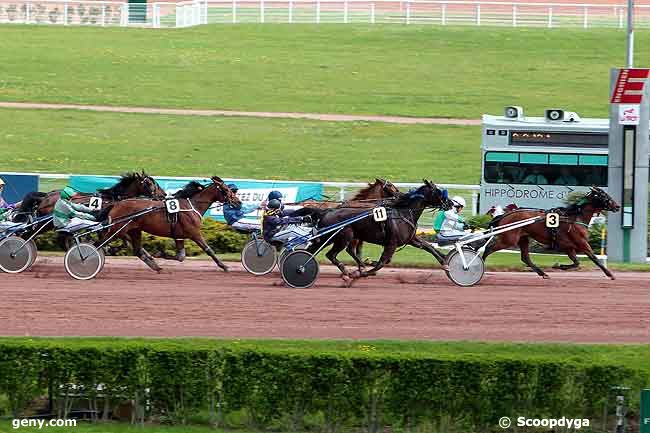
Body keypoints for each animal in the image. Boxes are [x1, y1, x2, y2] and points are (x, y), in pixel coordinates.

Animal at [100, 175, 242, 270]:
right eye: (226, 190)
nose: (238, 202)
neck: (192, 206)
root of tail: (116, 204)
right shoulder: (194, 233)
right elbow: (208, 250)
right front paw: (224, 266)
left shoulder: (179, 236)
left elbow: (180, 257)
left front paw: (159, 254)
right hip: (116, 229)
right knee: (100, 243)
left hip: (133, 230)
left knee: (136, 249)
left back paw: (155, 266)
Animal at [302, 180, 450, 284]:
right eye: (438, 191)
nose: (450, 203)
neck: (403, 213)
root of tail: (326, 211)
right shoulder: (391, 243)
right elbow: (382, 262)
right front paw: (360, 272)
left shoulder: (411, 239)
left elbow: (429, 247)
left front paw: (445, 261)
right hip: (343, 237)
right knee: (331, 254)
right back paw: (346, 273)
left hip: (329, 238)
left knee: (312, 251)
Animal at [480, 187, 616, 278]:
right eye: (604, 196)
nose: (617, 206)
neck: (575, 218)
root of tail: (505, 215)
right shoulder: (582, 243)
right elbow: (594, 258)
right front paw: (609, 274)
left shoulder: (568, 246)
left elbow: (577, 262)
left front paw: (559, 266)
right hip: (509, 239)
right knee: (488, 249)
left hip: (523, 238)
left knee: (525, 257)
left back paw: (543, 273)